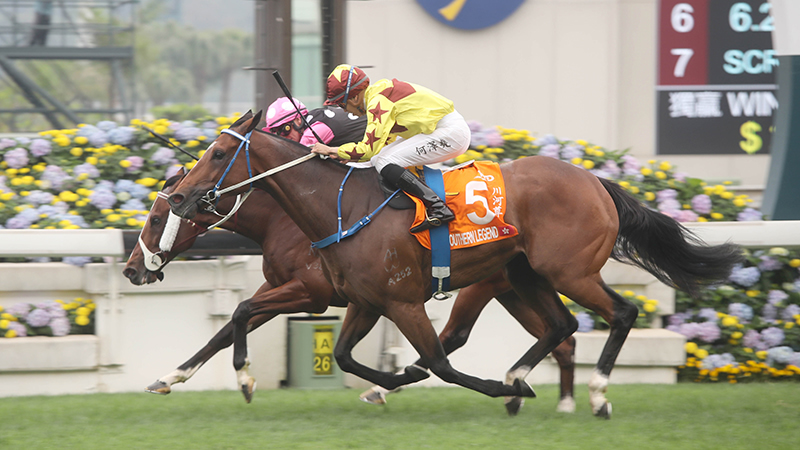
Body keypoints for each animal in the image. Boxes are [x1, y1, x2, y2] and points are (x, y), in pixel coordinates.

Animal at [124, 169, 578, 414]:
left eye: (157, 217)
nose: (131, 270)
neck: (283, 220)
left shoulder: (309, 292)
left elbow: (240, 312)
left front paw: (245, 379)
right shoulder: (282, 286)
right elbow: (228, 326)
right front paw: (170, 377)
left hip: (488, 287)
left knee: (459, 337)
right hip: (512, 288)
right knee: (559, 336)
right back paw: (550, 396)